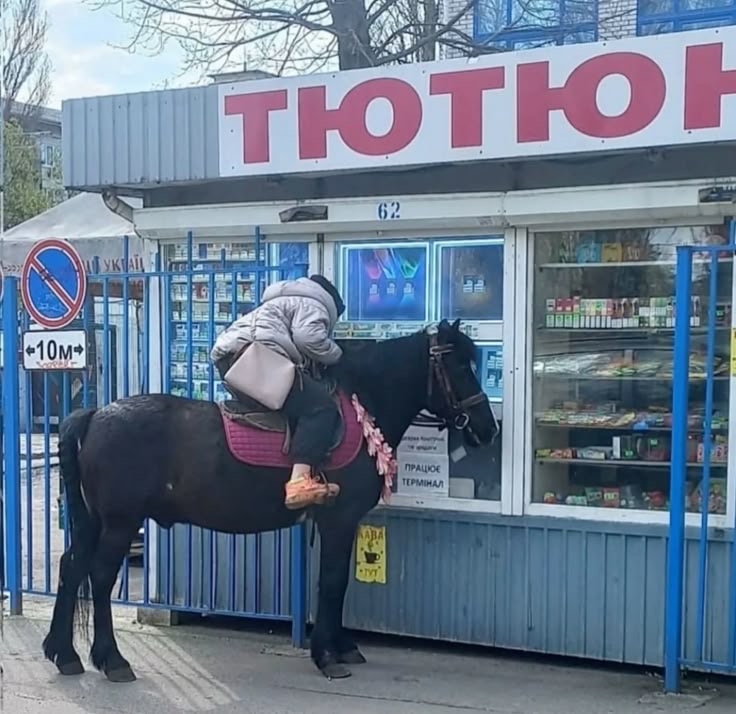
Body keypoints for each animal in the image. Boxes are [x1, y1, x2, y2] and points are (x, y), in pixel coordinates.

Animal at [41, 319, 498, 683]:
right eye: (460, 366)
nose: (487, 429)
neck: (361, 408)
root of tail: (95, 414)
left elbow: (337, 584)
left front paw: (342, 646)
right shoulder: (339, 519)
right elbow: (334, 583)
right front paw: (327, 655)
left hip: (95, 521)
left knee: (71, 567)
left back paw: (64, 654)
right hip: (120, 522)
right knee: (100, 577)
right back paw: (112, 660)